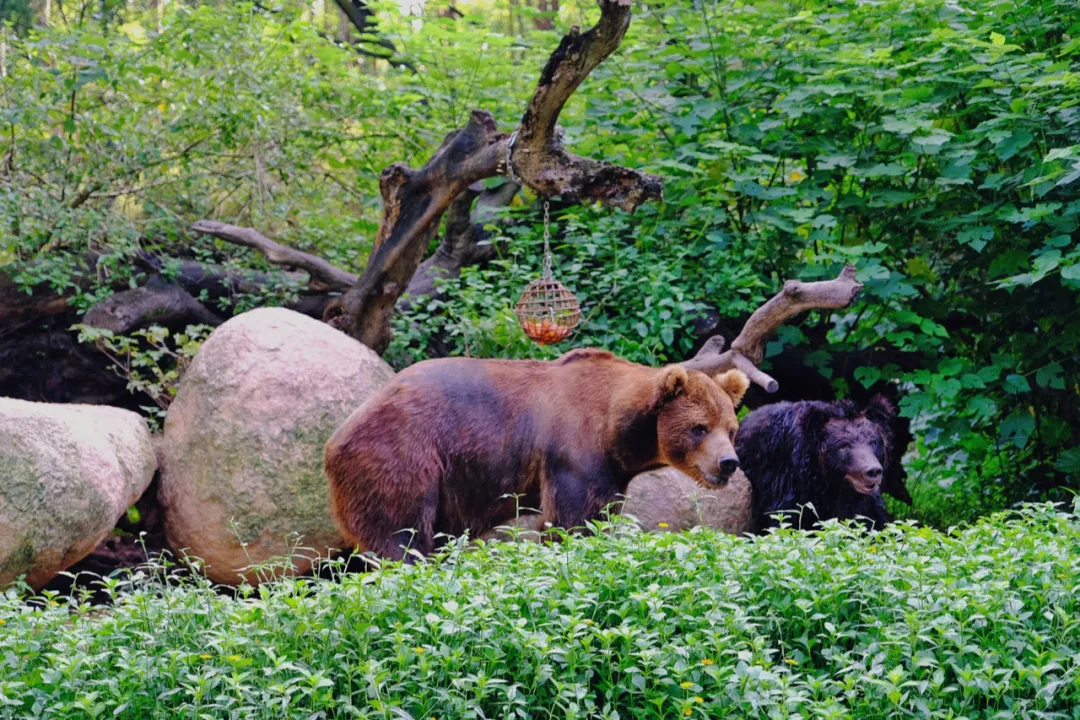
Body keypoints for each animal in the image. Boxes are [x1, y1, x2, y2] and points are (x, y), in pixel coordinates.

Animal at [326, 345, 751, 561]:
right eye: (699, 428)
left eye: (731, 429)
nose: (728, 463)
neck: (616, 428)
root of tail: (338, 435)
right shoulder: (575, 450)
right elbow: (573, 519)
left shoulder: (612, 471)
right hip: (404, 453)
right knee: (400, 531)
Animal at [734, 395, 902, 528]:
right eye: (844, 446)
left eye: (873, 442)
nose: (873, 471)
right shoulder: (785, 481)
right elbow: (786, 518)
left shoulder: (862, 503)